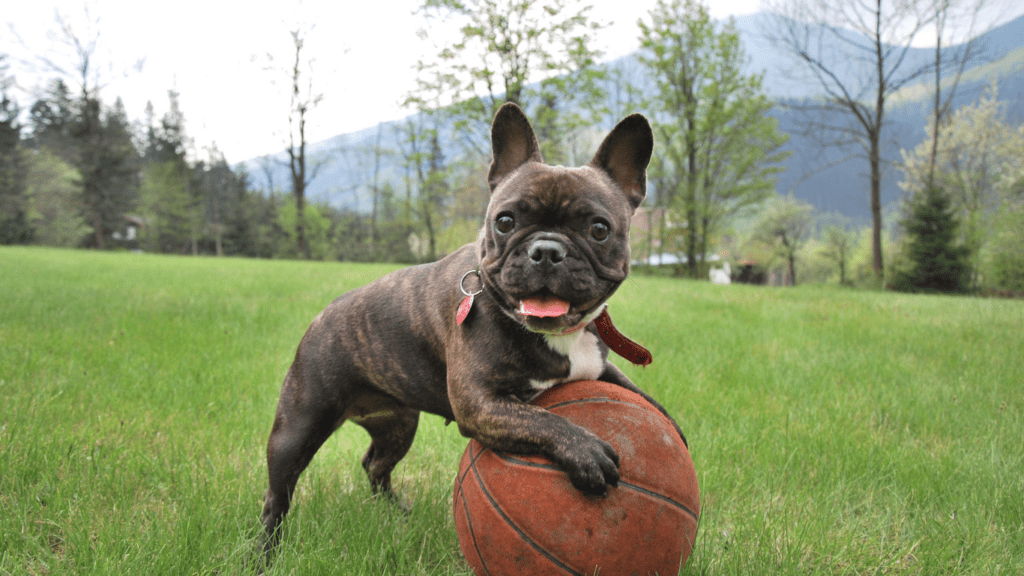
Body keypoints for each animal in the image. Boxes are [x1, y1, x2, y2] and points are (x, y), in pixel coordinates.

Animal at [260, 101, 684, 553]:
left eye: (599, 229)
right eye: (505, 221)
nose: (546, 249)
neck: (558, 334)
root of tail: (322, 316)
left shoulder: (598, 367)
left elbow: (636, 393)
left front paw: (671, 427)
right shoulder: (480, 403)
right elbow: (541, 419)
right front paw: (586, 452)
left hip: (398, 424)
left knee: (375, 464)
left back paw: (396, 513)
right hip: (299, 426)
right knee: (278, 495)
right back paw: (266, 552)